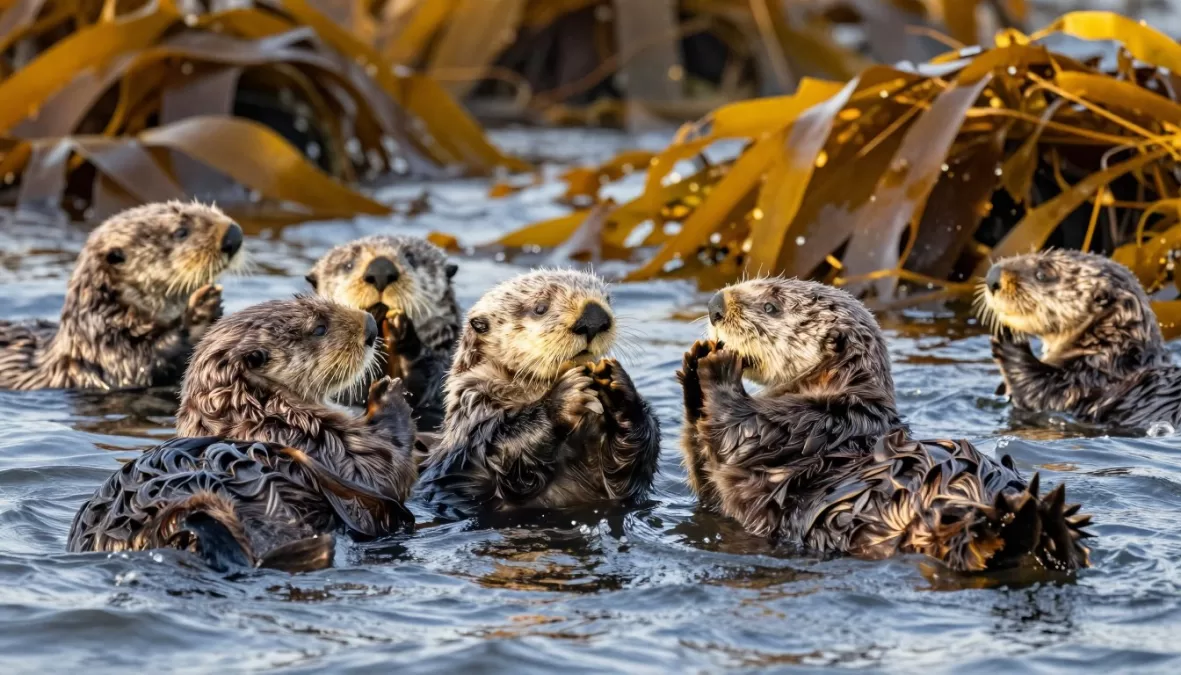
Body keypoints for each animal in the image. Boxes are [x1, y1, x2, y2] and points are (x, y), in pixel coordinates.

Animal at [68, 295, 417, 571]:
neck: (262, 413)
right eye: (319, 328)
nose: (371, 326)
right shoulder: (318, 443)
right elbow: (384, 469)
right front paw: (386, 393)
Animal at [418, 269, 660, 512]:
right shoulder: (475, 418)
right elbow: (502, 454)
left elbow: (632, 469)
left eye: (607, 300)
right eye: (540, 308)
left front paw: (617, 386)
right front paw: (564, 397)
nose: (594, 317)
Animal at [680, 278, 1091, 573]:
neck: (843, 389)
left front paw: (716, 367)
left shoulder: (810, 425)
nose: (715, 306)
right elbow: (709, 487)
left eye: (771, 306)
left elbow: (741, 434)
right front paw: (694, 362)